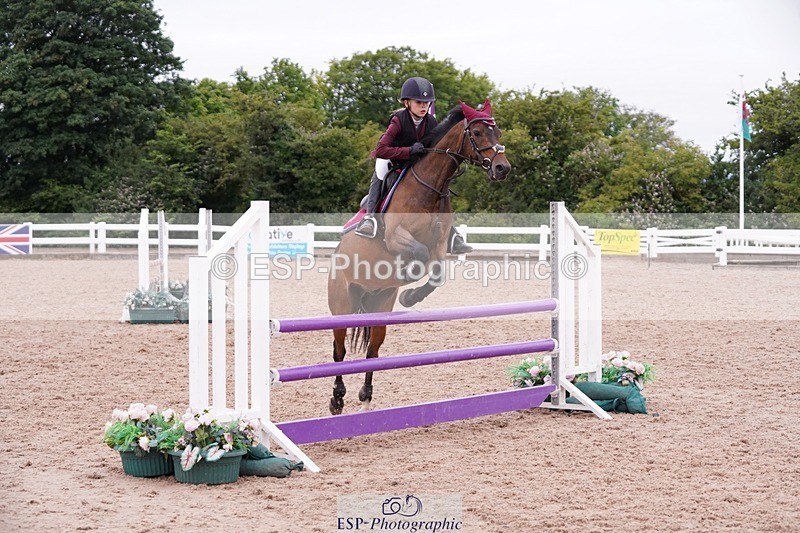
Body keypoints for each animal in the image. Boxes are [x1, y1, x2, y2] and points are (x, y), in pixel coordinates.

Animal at [325, 99, 511, 415]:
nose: (502, 168)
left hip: (379, 308)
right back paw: (337, 398)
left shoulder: (439, 245)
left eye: (496, 131)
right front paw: (408, 281)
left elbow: (436, 274)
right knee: (339, 350)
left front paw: (411, 296)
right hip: (342, 305)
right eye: (476, 132)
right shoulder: (397, 237)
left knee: (372, 351)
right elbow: (419, 257)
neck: (431, 186)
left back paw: (365, 394)